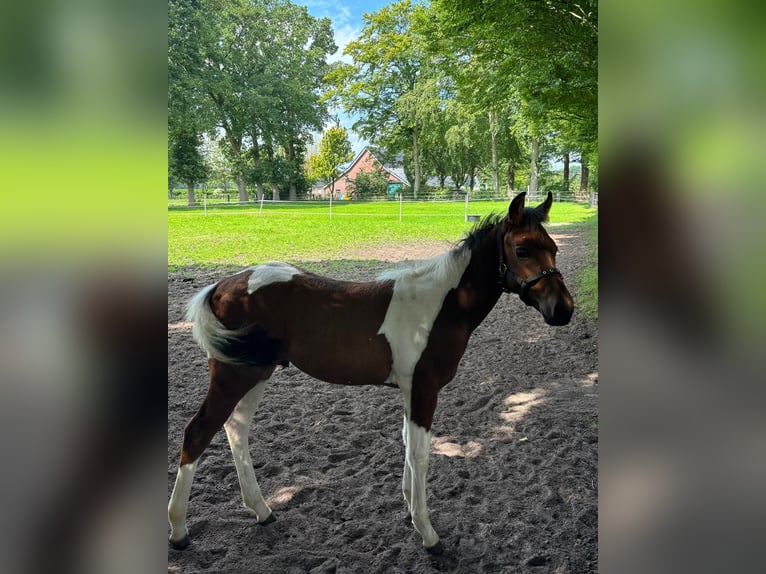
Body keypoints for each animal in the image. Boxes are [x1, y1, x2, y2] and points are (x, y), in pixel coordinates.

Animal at [168, 191, 574, 554]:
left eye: (554, 247)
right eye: (522, 250)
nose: (563, 309)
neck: (442, 306)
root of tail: (220, 286)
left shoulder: (410, 390)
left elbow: (408, 445)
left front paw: (411, 512)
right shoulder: (424, 387)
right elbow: (421, 453)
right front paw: (428, 535)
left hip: (256, 372)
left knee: (236, 429)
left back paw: (262, 510)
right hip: (232, 375)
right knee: (198, 432)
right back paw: (179, 531)